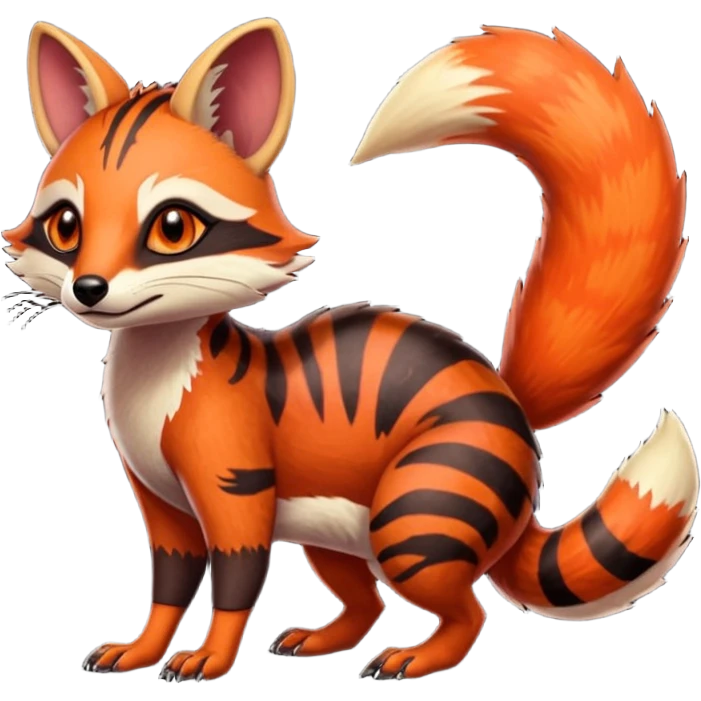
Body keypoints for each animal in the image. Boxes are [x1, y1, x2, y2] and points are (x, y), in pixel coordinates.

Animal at [2, 17, 697, 682]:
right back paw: (323, 640)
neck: (156, 381)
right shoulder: (160, 504)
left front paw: (210, 660)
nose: (90, 289)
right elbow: (167, 590)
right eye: (66, 226)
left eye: (173, 227)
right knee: (366, 602)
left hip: (418, 516)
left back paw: (419, 658)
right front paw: (142, 650)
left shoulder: (235, 490)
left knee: (466, 612)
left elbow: (234, 586)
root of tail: (511, 400)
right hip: (333, 531)